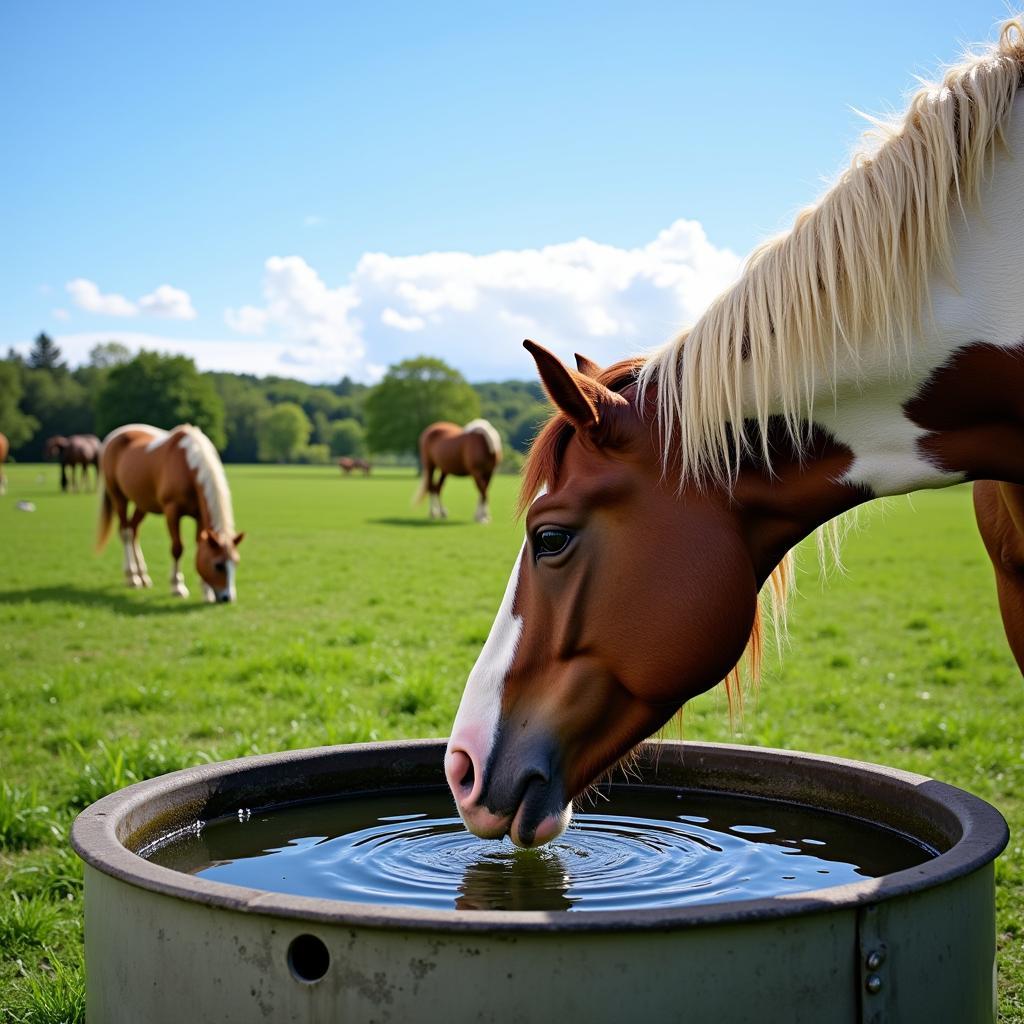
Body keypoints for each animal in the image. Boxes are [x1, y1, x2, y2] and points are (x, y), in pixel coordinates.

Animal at [97, 421, 245, 598]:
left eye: (236, 563)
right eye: (218, 565)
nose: (227, 598)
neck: (188, 464)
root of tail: (112, 436)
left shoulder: (199, 516)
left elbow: (199, 546)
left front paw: (206, 591)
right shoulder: (172, 511)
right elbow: (177, 548)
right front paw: (177, 586)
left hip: (142, 503)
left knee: (133, 530)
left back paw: (143, 576)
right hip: (118, 496)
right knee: (126, 532)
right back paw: (132, 577)